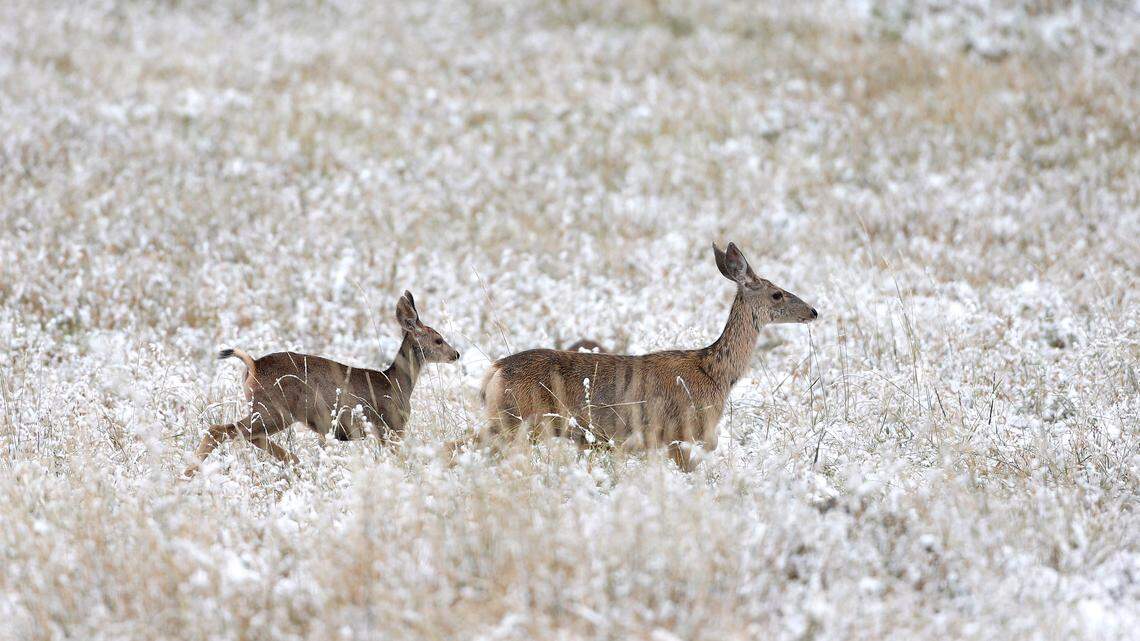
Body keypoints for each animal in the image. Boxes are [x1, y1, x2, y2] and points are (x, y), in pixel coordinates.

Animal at [183, 291, 460, 477]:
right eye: (438, 339)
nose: (456, 354)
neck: (396, 383)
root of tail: (252, 365)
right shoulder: (391, 426)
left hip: (267, 411)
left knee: (246, 435)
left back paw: (295, 462)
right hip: (274, 410)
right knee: (221, 430)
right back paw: (187, 474)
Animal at [464, 242, 817, 471]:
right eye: (777, 293)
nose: (813, 311)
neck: (715, 371)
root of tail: (494, 370)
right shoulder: (681, 434)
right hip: (514, 420)